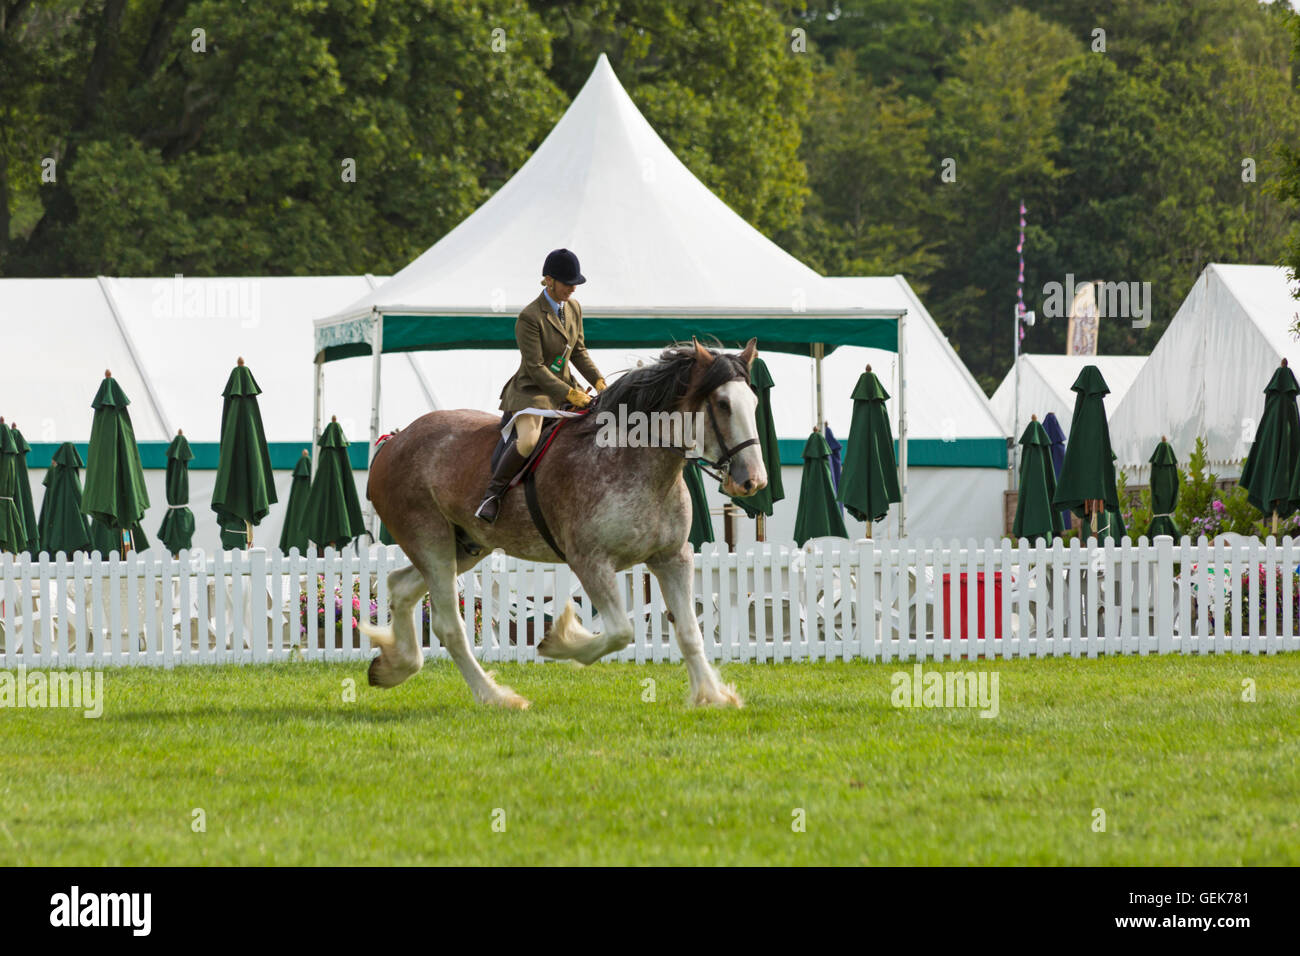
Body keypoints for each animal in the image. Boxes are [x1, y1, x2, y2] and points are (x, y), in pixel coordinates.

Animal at [361, 340, 764, 707]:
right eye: (723, 405)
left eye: (754, 403)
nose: (752, 481)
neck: (638, 461)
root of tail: (394, 441)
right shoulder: (591, 561)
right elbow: (620, 632)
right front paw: (558, 643)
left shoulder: (672, 559)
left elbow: (689, 633)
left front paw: (712, 696)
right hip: (432, 544)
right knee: (449, 626)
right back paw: (495, 697)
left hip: (466, 546)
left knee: (400, 586)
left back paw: (393, 666)